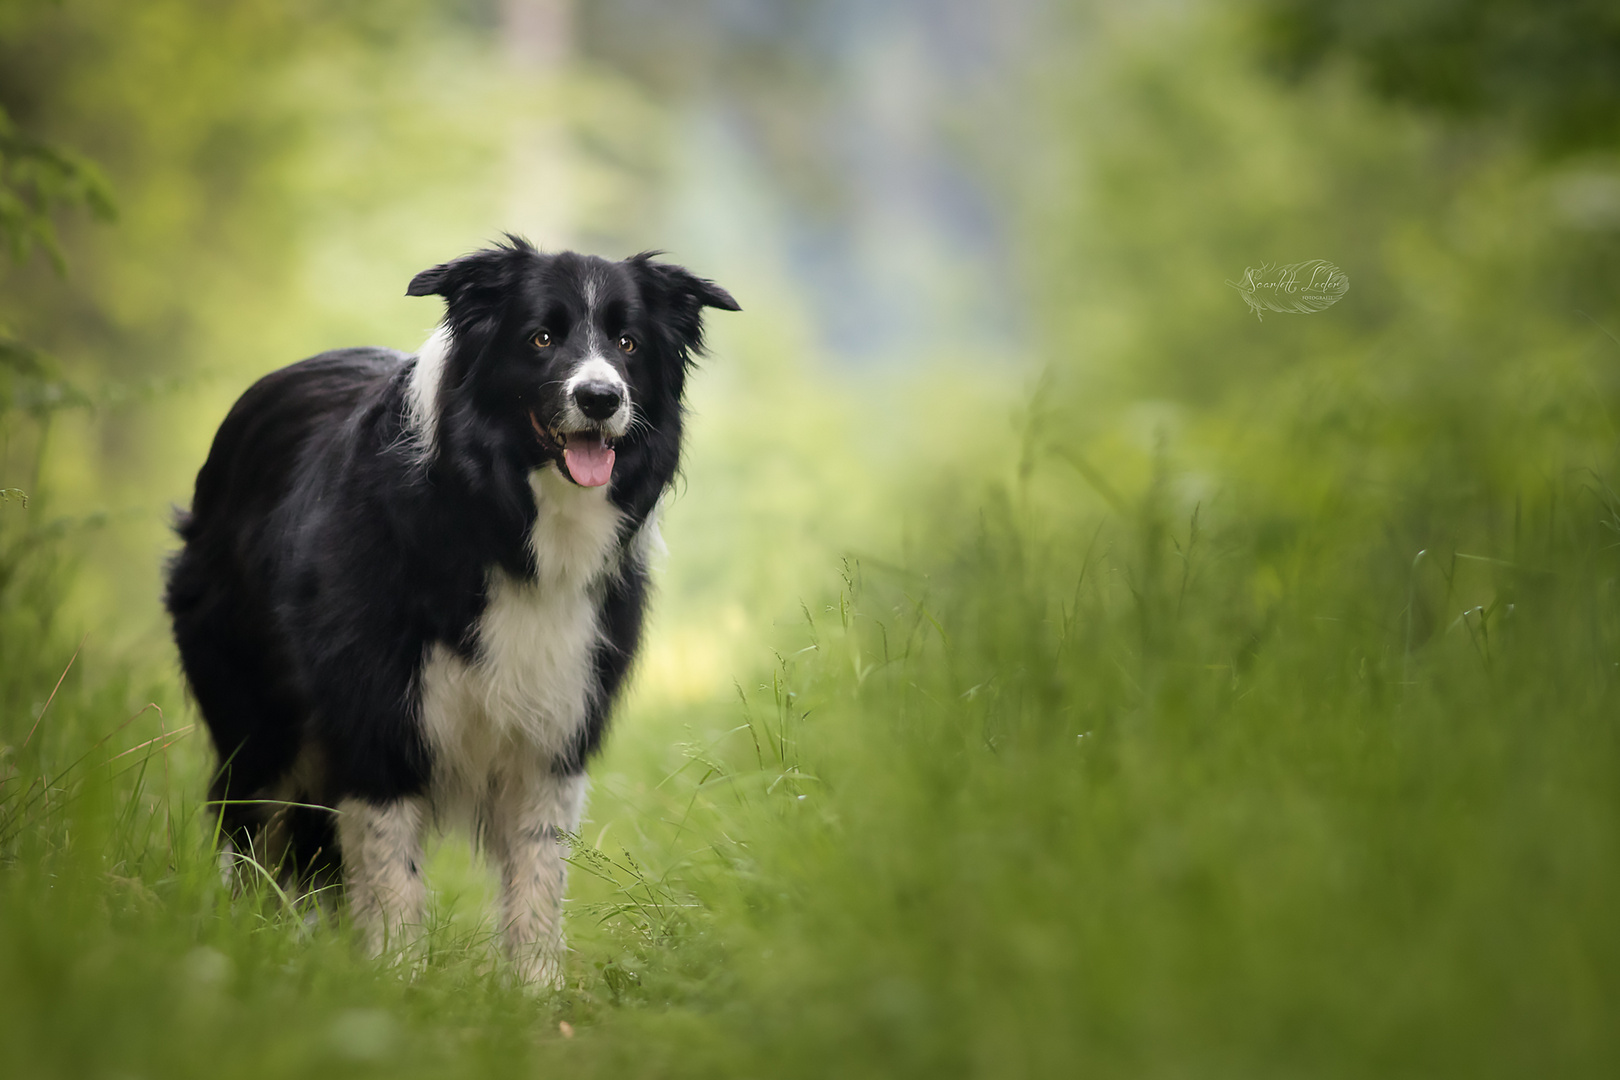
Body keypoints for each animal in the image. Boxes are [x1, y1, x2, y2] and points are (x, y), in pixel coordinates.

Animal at [162, 241, 735, 984]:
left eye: (628, 342)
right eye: (540, 337)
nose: (601, 398)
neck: (505, 520)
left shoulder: (556, 719)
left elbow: (537, 875)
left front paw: (535, 992)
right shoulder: (377, 715)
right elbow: (391, 871)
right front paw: (398, 980)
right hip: (258, 719)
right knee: (251, 827)